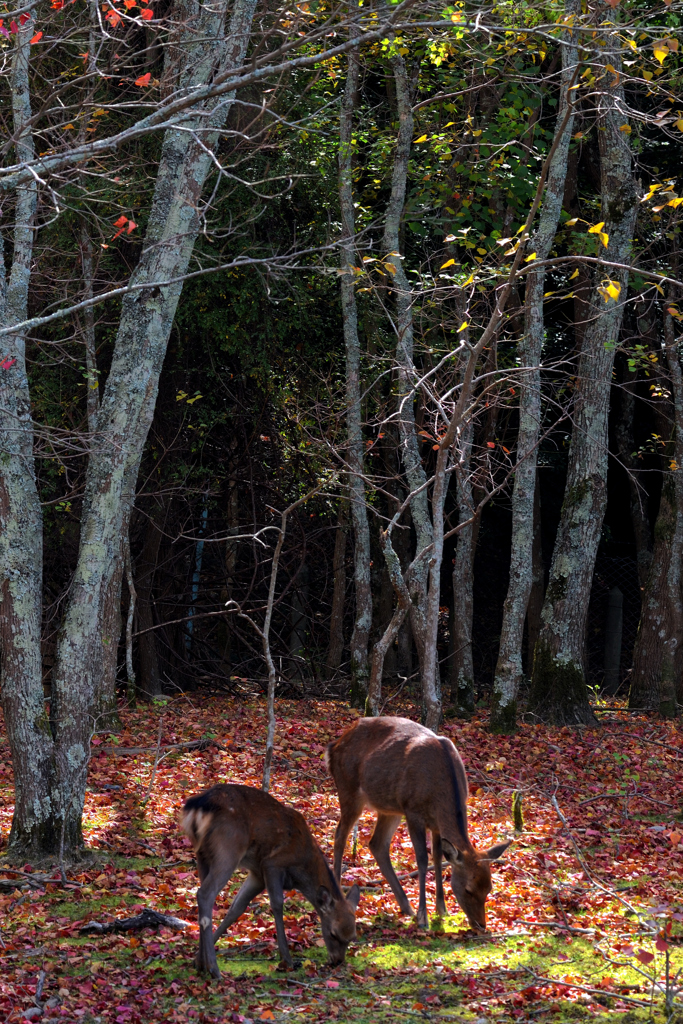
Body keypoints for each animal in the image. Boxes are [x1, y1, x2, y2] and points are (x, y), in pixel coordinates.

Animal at [181, 782, 362, 974]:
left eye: (352, 937)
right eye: (333, 933)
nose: (337, 961)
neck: (303, 864)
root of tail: (198, 805)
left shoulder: (257, 874)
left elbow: (236, 908)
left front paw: (197, 959)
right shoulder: (272, 864)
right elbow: (276, 904)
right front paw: (287, 960)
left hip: (203, 854)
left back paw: (203, 963)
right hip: (228, 850)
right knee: (205, 894)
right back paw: (214, 969)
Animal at [323, 716, 509, 933]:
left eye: (488, 888)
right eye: (468, 889)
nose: (481, 925)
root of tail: (333, 747)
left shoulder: (435, 823)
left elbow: (437, 857)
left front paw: (442, 910)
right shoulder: (413, 812)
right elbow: (422, 859)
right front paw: (424, 918)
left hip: (390, 807)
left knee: (377, 844)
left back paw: (406, 907)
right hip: (349, 790)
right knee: (339, 836)